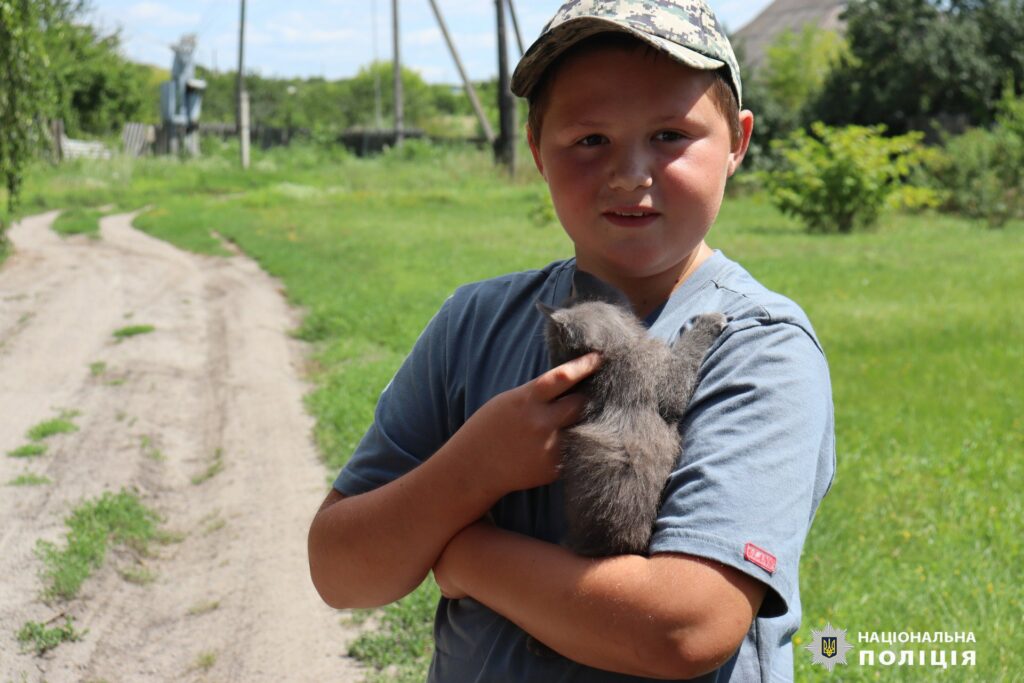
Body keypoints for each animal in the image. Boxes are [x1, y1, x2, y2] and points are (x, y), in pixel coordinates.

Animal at [536, 274, 729, 557]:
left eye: (552, 345)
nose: (552, 361)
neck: (623, 348)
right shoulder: (668, 391)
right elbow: (685, 359)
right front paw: (709, 322)